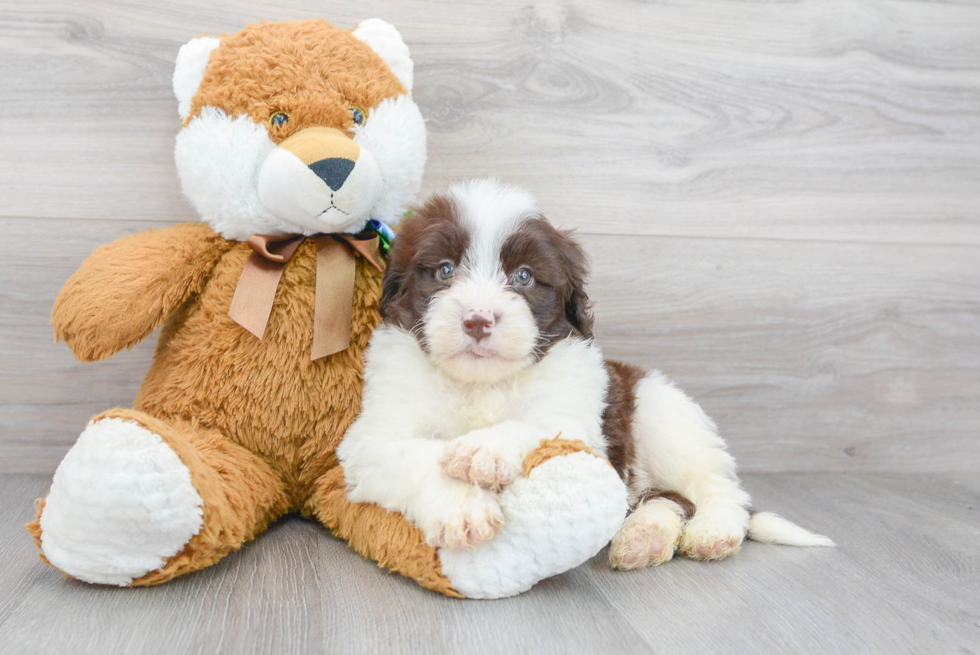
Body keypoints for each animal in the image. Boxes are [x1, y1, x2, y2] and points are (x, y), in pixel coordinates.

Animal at [338, 178, 836, 568]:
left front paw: (485, 448)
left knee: (714, 488)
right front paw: (461, 508)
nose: (478, 321)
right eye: (443, 270)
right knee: (667, 498)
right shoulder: (368, 441)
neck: (484, 384)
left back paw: (713, 532)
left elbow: (537, 425)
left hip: (664, 418)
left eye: (523, 277)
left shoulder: (582, 425)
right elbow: (414, 455)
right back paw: (645, 536)